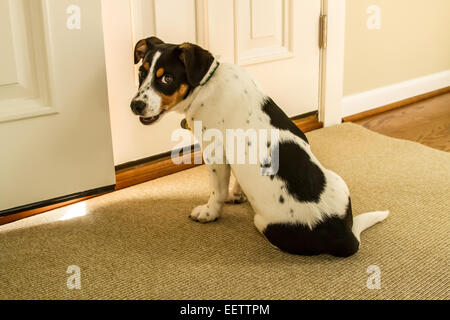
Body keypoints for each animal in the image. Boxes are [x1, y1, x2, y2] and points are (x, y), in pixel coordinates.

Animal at [130, 37, 386, 258]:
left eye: (167, 78)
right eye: (142, 72)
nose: (136, 105)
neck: (205, 84)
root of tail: (344, 234)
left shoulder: (214, 153)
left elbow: (217, 191)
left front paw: (209, 212)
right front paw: (237, 194)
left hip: (262, 222)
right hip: (338, 180)